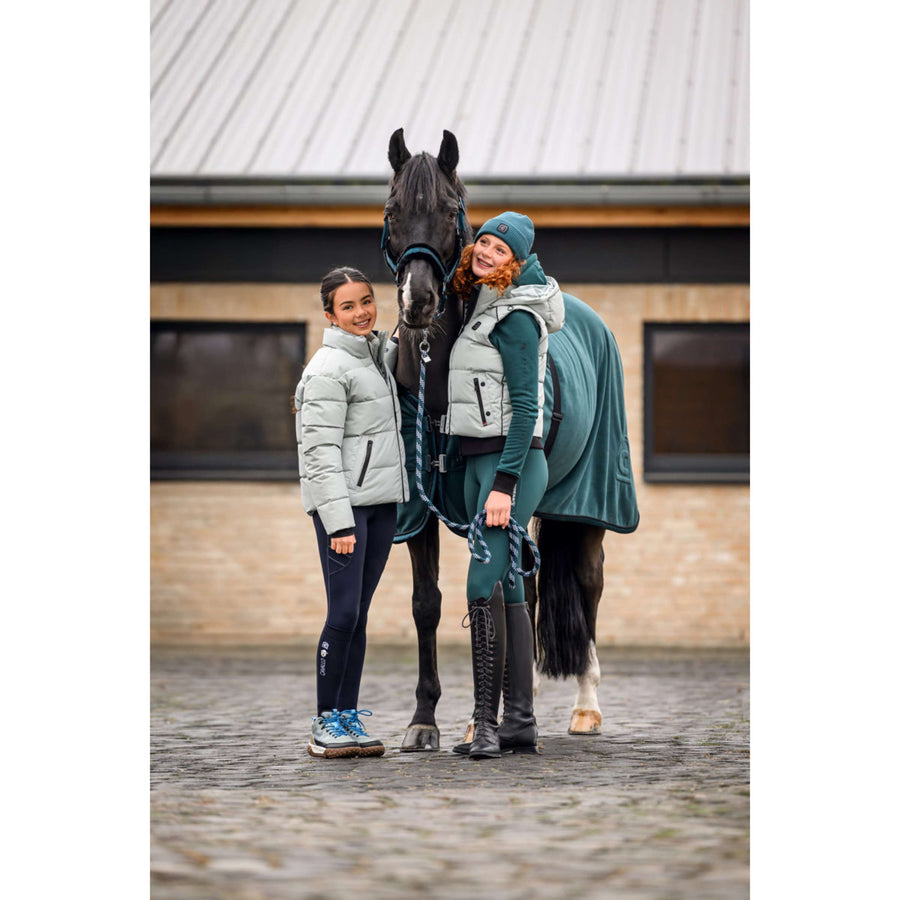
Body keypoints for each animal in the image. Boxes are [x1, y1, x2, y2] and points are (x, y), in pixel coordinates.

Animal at [383, 128, 639, 751]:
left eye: (450, 209)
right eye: (393, 210)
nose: (418, 301)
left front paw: (485, 720)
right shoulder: (419, 510)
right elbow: (428, 604)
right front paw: (425, 720)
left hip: (588, 509)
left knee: (587, 586)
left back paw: (585, 707)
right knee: (530, 585)